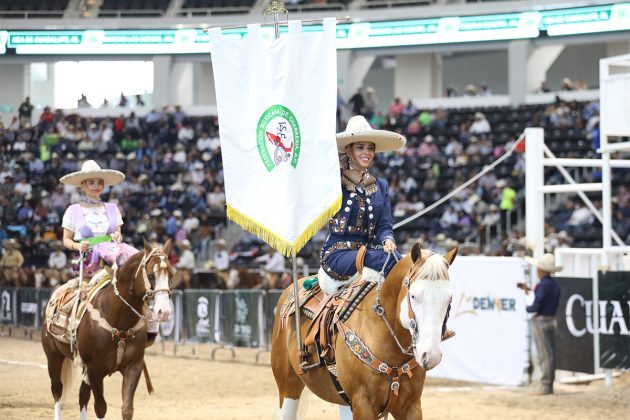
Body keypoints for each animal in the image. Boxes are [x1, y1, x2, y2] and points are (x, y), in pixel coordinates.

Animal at [41, 240, 175, 420]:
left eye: (171, 275)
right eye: (151, 275)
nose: (164, 311)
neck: (120, 324)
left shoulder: (134, 367)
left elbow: (127, 409)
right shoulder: (95, 370)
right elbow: (100, 407)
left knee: (82, 395)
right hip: (53, 356)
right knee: (57, 389)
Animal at [272, 243, 460, 420]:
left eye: (450, 298)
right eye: (413, 296)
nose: (431, 355)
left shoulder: (410, 406)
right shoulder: (363, 404)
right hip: (288, 387)